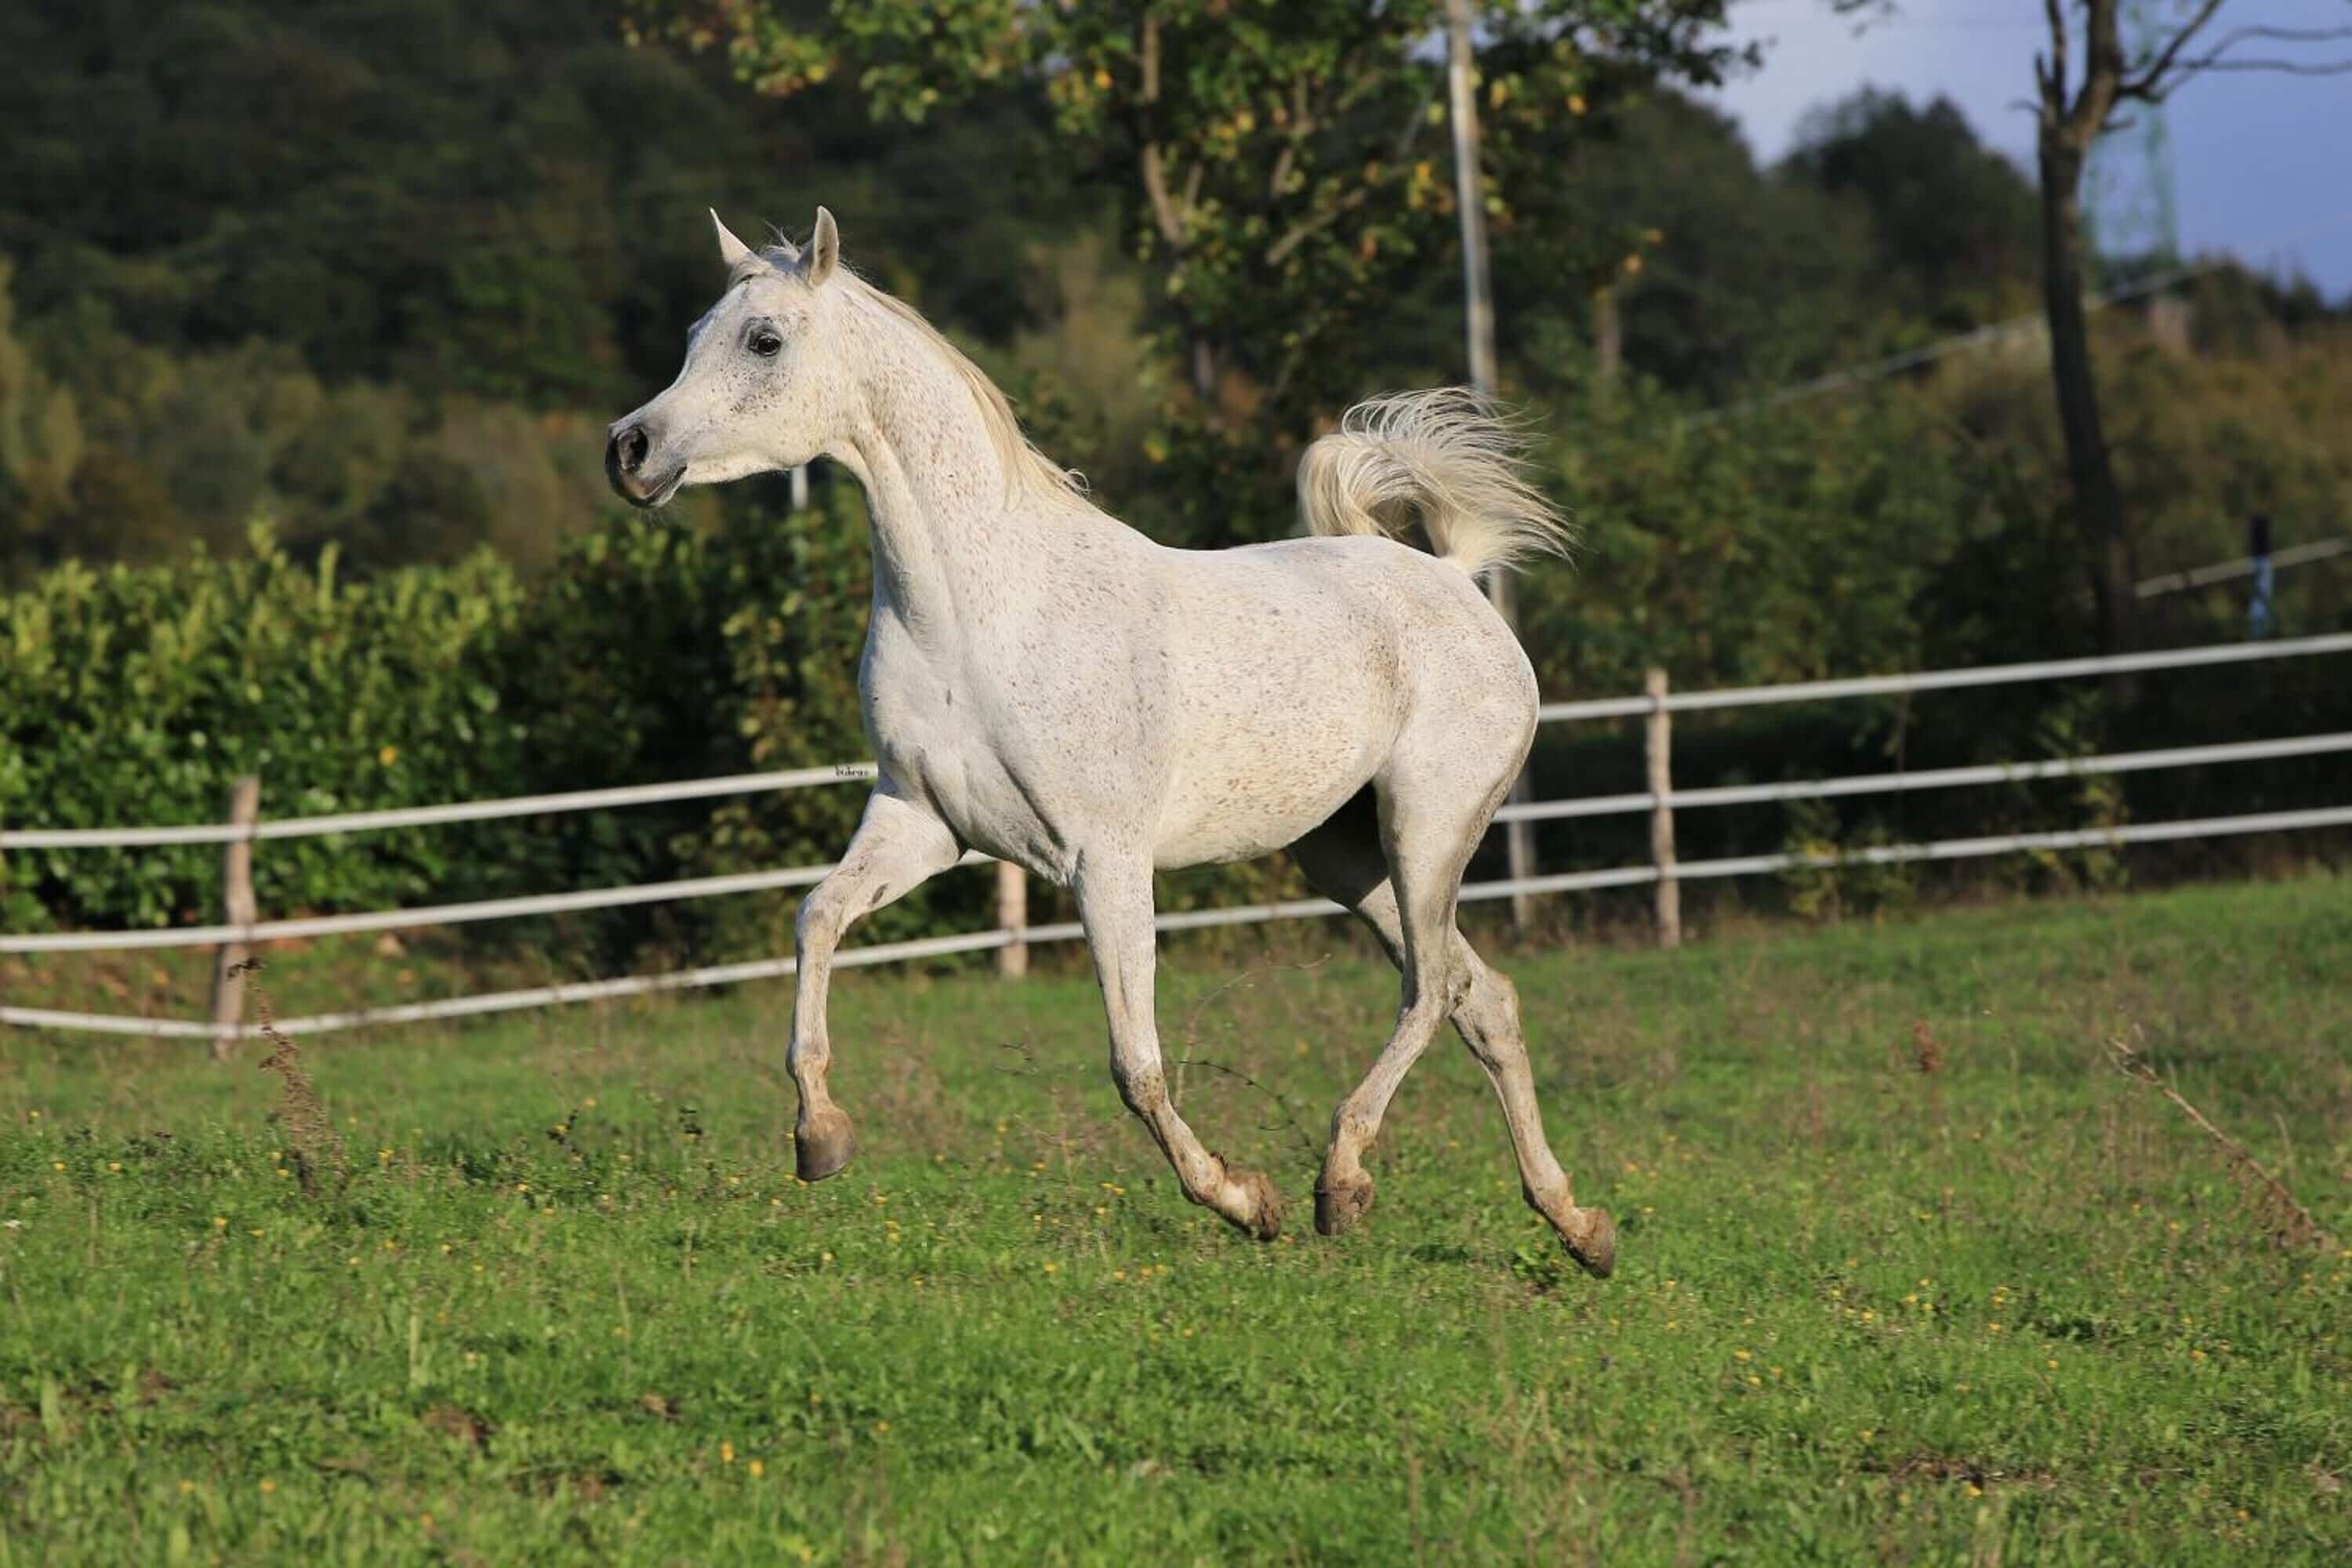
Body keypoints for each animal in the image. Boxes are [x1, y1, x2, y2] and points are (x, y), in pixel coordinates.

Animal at [606, 208, 1615, 1278]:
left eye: (765, 340)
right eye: (693, 333)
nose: (629, 448)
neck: (983, 611)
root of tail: (1458, 580)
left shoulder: (1107, 861)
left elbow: (1137, 1063)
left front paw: (1242, 1199)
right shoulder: (921, 820)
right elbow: (817, 919)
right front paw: (821, 1136)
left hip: (1427, 828)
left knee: (1430, 990)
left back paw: (1342, 1181)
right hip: (1346, 857)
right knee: (1482, 997)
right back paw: (1577, 1225)